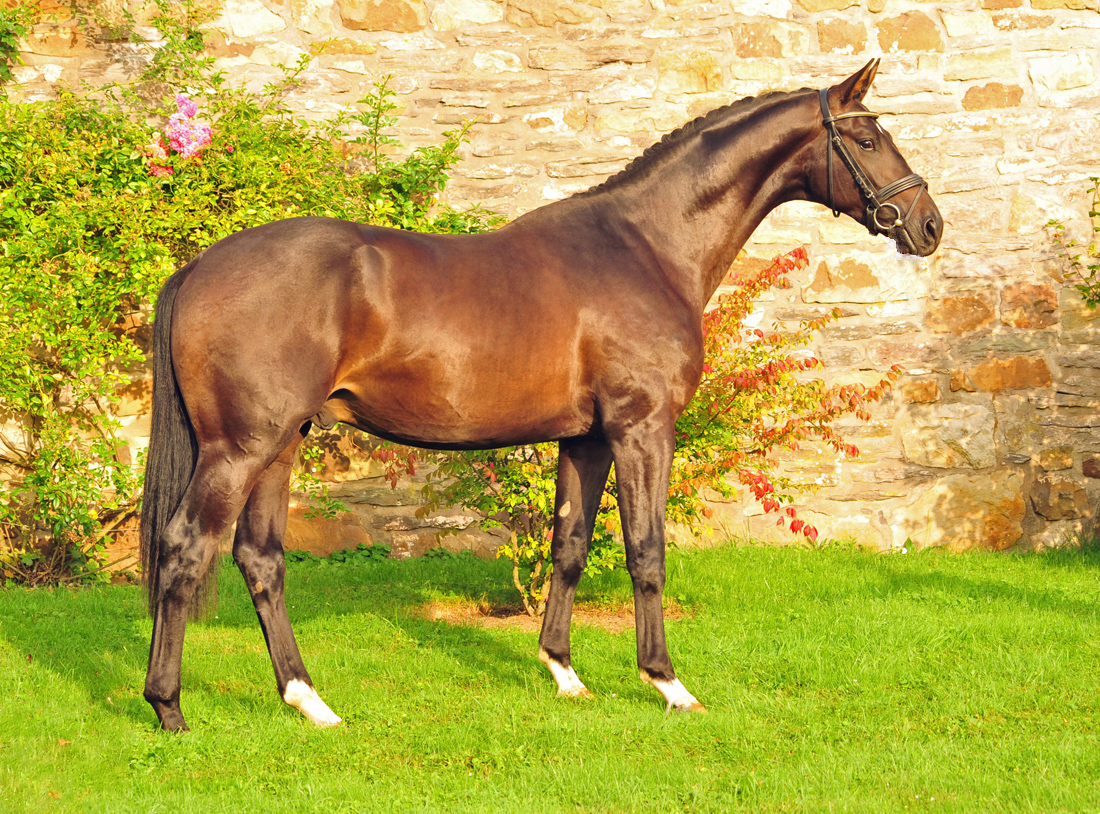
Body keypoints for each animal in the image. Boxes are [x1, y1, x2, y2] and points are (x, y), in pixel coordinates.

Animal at [139, 60, 946, 726]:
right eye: (866, 138)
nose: (929, 226)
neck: (646, 246)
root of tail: (199, 267)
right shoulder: (642, 428)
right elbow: (645, 549)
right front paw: (667, 683)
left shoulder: (585, 438)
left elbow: (570, 543)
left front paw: (563, 673)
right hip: (239, 449)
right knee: (186, 548)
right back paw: (169, 708)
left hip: (280, 444)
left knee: (261, 559)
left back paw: (310, 702)